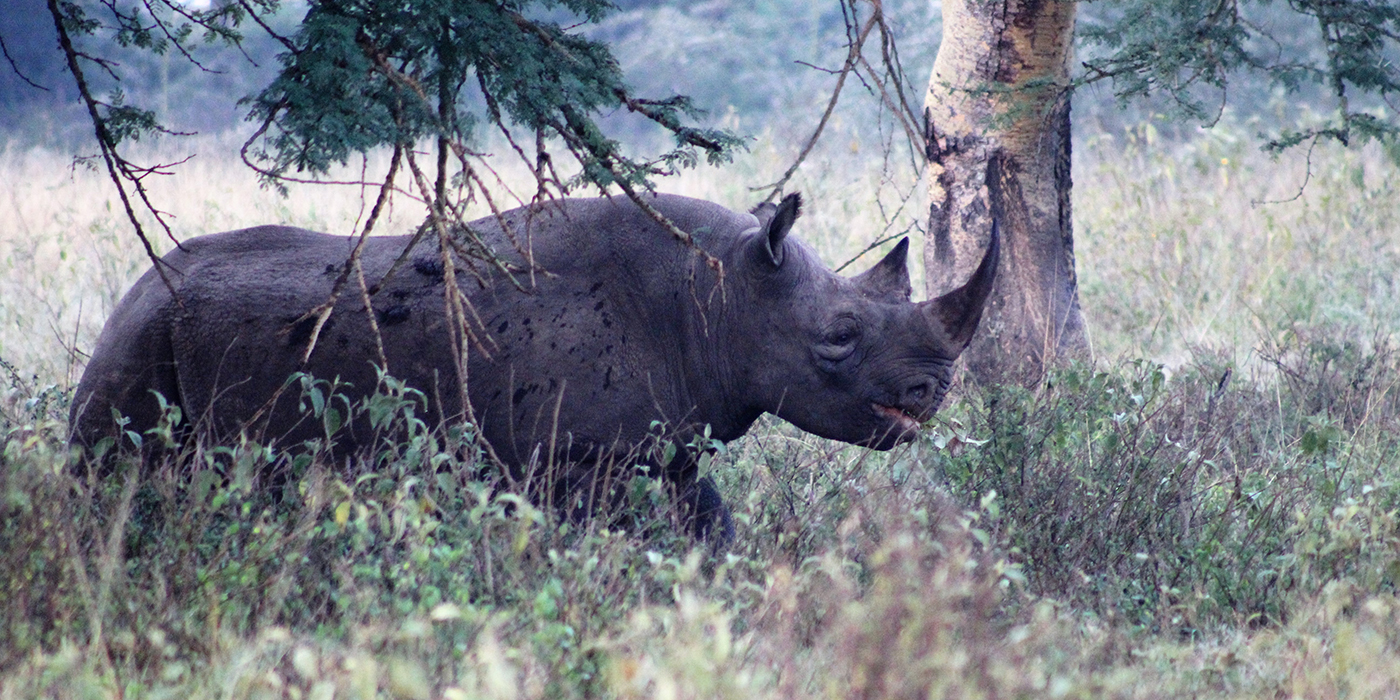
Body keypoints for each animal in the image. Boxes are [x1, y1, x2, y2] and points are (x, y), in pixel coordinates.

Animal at [71, 193, 996, 546]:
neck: (723, 294)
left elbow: (709, 529)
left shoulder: (659, 446)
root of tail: (138, 284)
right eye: (840, 335)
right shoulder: (576, 458)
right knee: (117, 468)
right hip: (146, 330)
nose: (933, 393)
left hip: (166, 322)